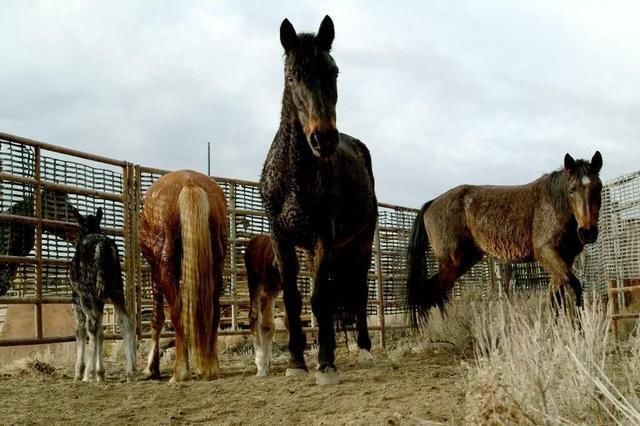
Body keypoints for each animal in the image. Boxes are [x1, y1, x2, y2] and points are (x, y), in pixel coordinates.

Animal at [69, 207, 135, 382]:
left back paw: (87, 374)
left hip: (88, 292)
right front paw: (101, 373)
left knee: (91, 325)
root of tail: (104, 248)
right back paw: (131, 371)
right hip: (117, 289)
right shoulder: (101, 299)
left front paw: (80, 372)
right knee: (126, 322)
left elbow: (80, 330)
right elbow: (102, 331)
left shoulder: (76, 296)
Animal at [140, 171, 228, 382]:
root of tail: (189, 182)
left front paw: (151, 368)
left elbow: (157, 317)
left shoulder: (155, 270)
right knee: (214, 309)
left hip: (165, 266)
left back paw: (180, 372)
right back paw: (211, 368)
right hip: (217, 265)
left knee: (177, 311)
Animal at [245, 233, 284, 376]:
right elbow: (267, 325)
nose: (276, 263)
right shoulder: (270, 288)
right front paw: (262, 365)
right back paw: (262, 363)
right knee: (255, 316)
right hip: (255, 280)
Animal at [260, 15, 378, 384]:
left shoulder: (323, 236)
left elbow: (320, 298)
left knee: (358, 292)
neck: (294, 177)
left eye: (334, 72)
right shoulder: (281, 238)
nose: (323, 138)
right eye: (292, 76)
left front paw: (325, 364)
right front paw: (297, 363)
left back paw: (365, 349)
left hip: (361, 244)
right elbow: (295, 300)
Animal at [408, 150, 604, 322]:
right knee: (438, 292)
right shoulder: (546, 252)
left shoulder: (565, 257)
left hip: (464, 260)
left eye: (598, 187)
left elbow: (555, 295)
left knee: (428, 291)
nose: (587, 232)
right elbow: (573, 286)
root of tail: (432, 203)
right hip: (451, 261)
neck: (555, 205)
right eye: (572, 189)